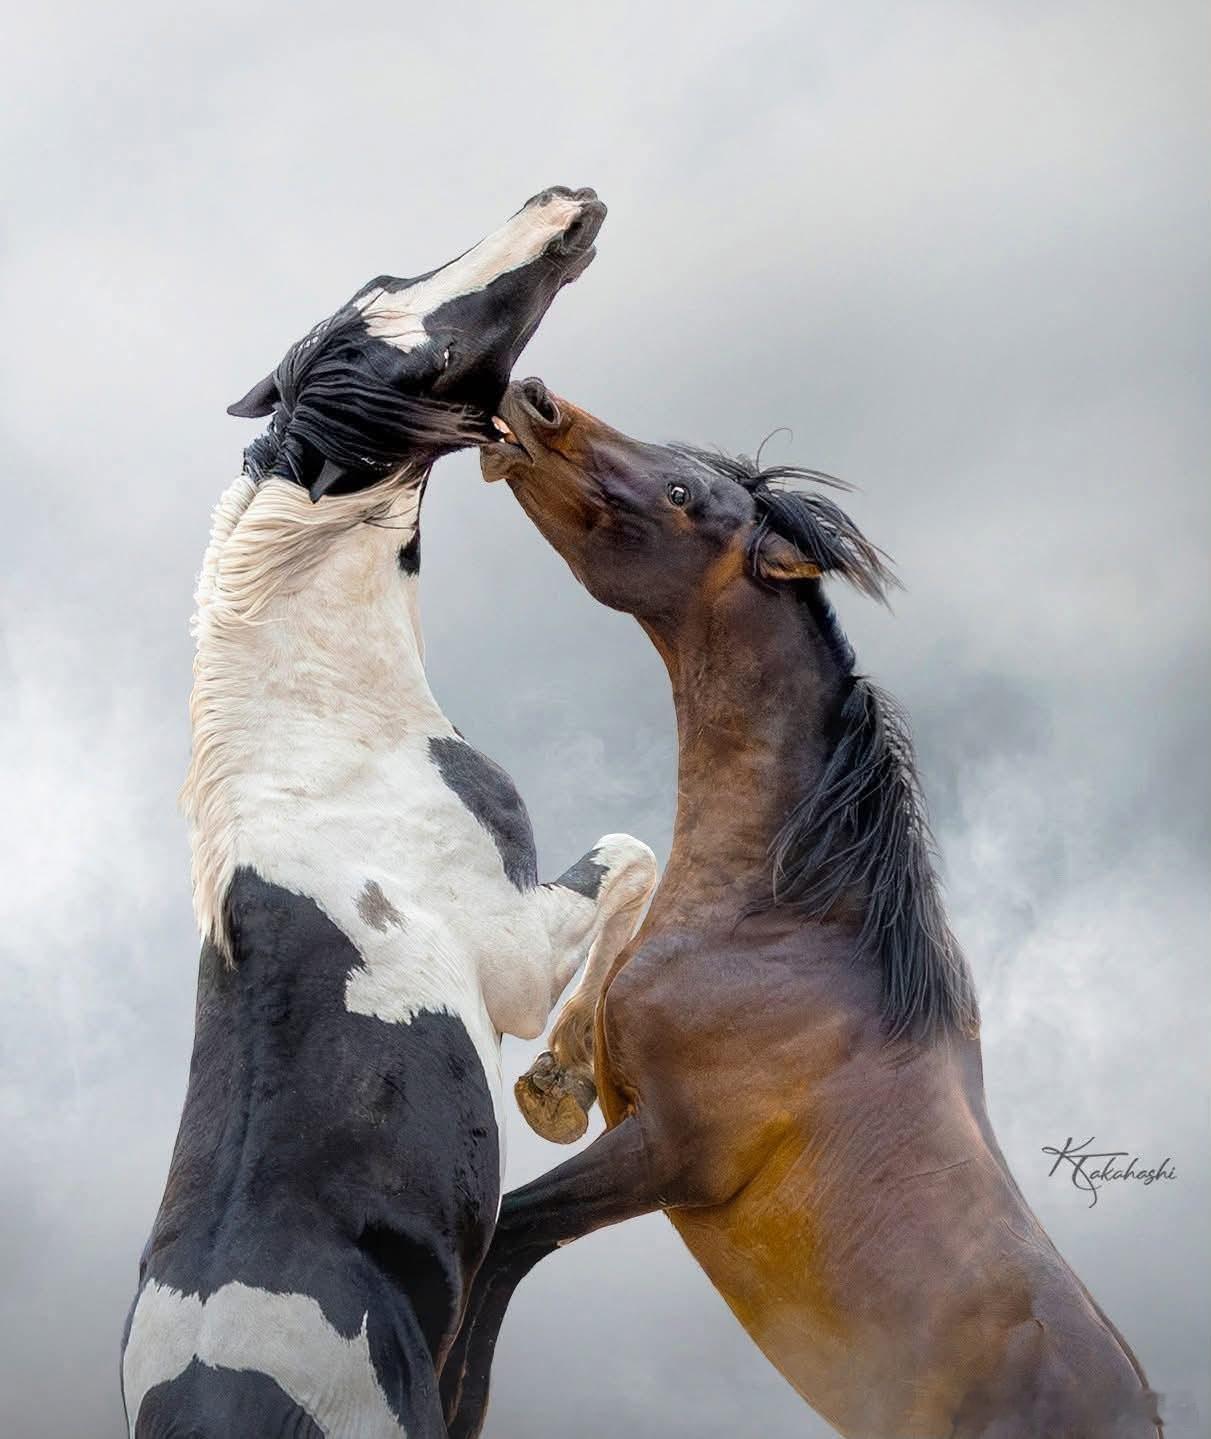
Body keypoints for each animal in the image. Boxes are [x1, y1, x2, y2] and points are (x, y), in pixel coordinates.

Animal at [121, 195, 657, 1439]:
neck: (325, 737)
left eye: (382, 278)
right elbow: (632, 857)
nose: (562, 205)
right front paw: (559, 1086)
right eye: (433, 352)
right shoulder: (513, 952)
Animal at [442, 379, 1163, 1439]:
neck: (782, 931)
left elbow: (500, 1247)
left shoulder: (667, 1155)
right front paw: (553, 1079)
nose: (534, 403)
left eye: (681, 494)